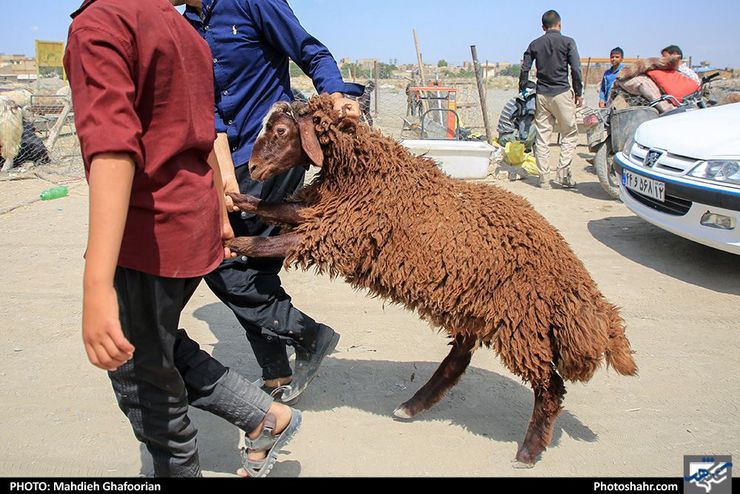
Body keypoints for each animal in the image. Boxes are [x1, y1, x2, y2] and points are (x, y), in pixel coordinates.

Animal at [227, 93, 636, 466]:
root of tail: (579, 286)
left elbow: (275, 242)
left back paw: (529, 450)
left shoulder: (341, 233)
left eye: (281, 131)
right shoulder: (322, 214)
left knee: (550, 388)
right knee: (459, 359)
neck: (366, 176)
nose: (253, 166)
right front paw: (238, 199)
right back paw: (413, 405)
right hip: (477, 307)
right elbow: (276, 209)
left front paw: (232, 243)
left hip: (521, 324)